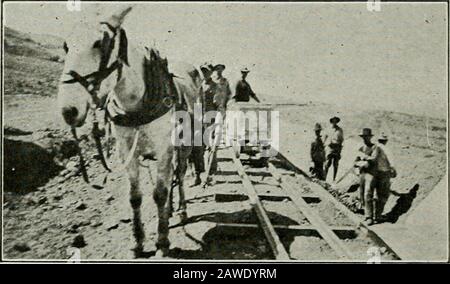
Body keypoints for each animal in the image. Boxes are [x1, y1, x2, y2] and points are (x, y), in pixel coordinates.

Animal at [57, 6, 201, 258]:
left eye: (99, 43)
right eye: (66, 45)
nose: (68, 110)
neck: (137, 104)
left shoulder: (164, 150)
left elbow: (159, 193)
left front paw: (162, 242)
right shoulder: (127, 153)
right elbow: (135, 198)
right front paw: (138, 242)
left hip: (183, 147)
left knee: (180, 174)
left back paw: (182, 209)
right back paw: (171, 210)